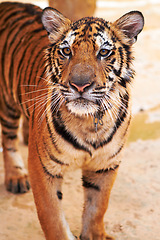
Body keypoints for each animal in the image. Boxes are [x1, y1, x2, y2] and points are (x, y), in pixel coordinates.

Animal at [0, 2, 144, 240]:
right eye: (66, 51)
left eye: (103, 52)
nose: (80, 85)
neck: (89, 121)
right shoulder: (43, 169)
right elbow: (53, 219)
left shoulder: (106, 165)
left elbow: (97, 207)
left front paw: (95, 235)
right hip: (7, 104)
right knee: (8, 140)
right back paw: (16, 177)